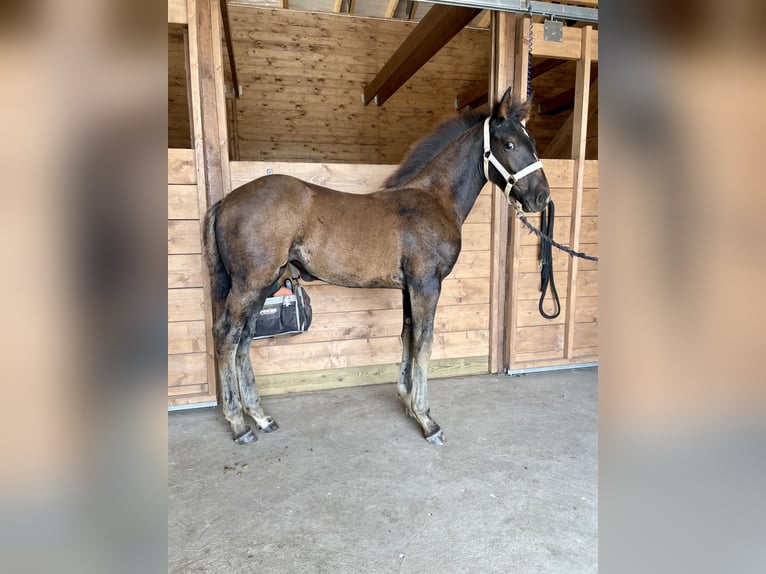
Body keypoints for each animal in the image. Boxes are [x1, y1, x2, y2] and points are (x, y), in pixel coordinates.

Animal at [204, 88, 552, 448]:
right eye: (509, 144)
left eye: (531, 142)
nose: (541, 198)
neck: (435, 198)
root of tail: (226, 201)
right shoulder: (426, 284)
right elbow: (424, 344)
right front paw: (427, 420)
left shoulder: (409, 287)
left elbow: (407, 336)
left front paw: (408, 404)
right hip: (251, 285)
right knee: (226, 336)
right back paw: (239, 424)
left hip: (265, 285)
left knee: (245, 339)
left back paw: (259, 416)